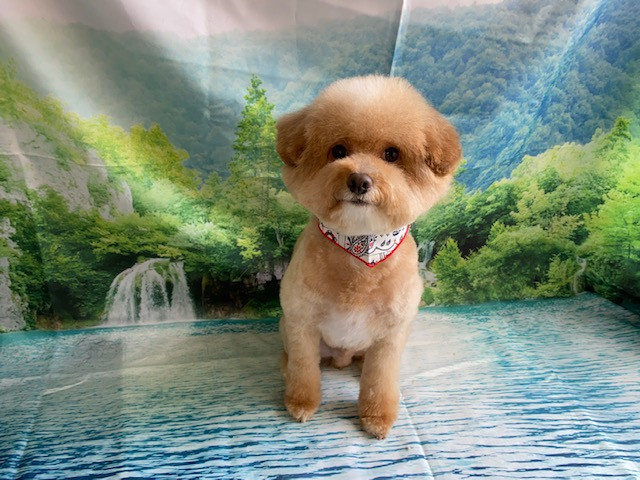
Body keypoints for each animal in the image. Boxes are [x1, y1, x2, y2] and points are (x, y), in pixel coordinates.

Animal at [276, 75, 461, 439]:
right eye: (338, 151)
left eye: (392, 154)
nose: (359, 180)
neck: (360, 248)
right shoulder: (302, 322)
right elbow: (304, 370)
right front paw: (301, 402)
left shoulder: (391, 335)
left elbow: (380, 380)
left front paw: (377, 417)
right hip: (287, 329)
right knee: (293, 357)